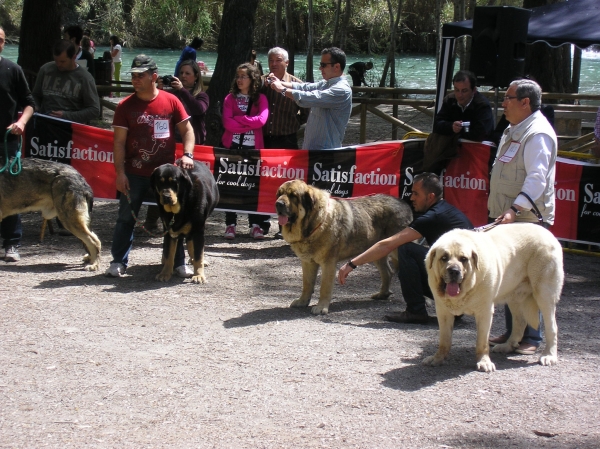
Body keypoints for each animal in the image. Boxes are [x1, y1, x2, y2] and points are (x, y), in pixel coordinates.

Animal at [424, 223, 560, 372]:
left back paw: (549, 355)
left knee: (552, 327)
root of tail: (547, 232)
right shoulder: (443, 311)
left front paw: (484, 362)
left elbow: (482, 342)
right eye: (444, 258)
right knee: (519, 322)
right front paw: (438, 358)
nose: (454, 271)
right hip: (514, 297)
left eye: (463, 259)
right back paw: (507, 346)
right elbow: (444, 339)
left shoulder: (485, 312)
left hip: (544, 294)